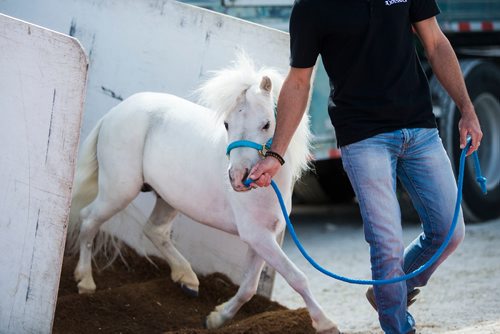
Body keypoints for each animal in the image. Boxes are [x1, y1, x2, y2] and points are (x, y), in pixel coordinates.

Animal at [66, 56, 338, 332]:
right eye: (227, 124)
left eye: (266, 124)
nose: (238, 178)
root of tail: (115, 113)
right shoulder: (256, 235)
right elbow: (297, 277)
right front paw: (326, 323)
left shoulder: (263, 237)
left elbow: (249, 287)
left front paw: (217, 318)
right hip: (118, 191)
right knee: (89, 220)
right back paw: (85, 281)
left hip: (168, 199)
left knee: (153, 230)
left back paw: (187, 279)